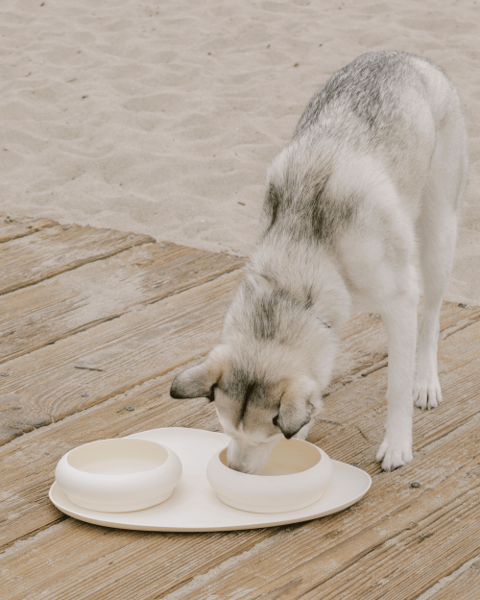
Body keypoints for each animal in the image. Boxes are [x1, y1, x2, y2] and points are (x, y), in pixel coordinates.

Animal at [170, 50, 468, 474]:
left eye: (265, 437)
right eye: (226, 430)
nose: (237, 472)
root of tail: (407, 56)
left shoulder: (400, 302)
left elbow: (396, 385)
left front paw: (397, 444)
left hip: (439, 237)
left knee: (431, 319)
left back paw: (425, 381)